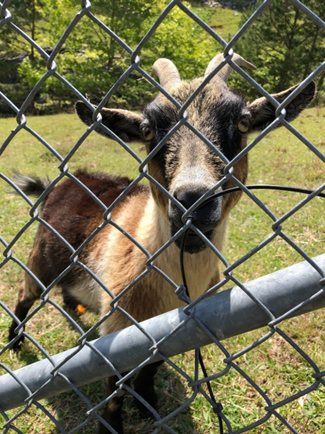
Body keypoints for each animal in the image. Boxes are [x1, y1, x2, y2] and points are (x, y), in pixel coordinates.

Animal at [8, 54, 316, 434]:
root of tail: (64, 180)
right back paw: (15, 342)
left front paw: (148, 404)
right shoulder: (118, 331)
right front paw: (113, 425)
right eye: (147, 130)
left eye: (243, 122)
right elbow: (114, 390)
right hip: (40, 260)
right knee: (25, 296)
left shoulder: (168, 334)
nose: (193, 199)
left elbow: (150, 369)